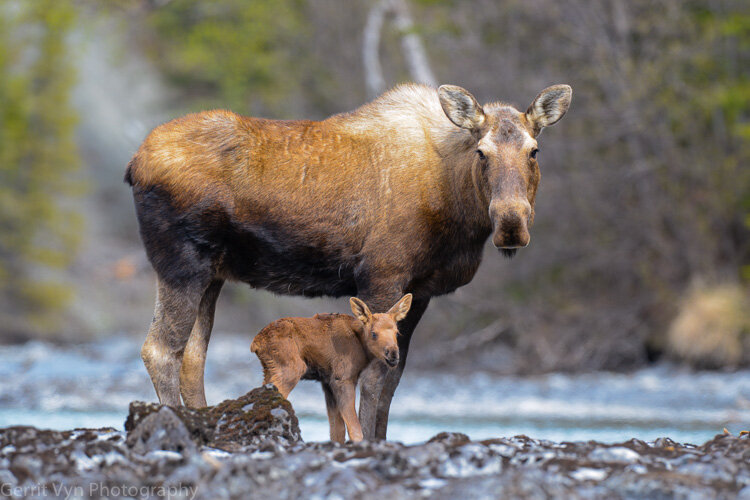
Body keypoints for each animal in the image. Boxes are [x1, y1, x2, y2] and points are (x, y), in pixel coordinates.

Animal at [251, 292, 412, 442]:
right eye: (373, 333)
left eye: (397, 332)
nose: (393, 354)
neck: (361, 346)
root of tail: (256, 343)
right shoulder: (342, 378)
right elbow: (354, 429)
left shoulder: (327, 382)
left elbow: (337, 431)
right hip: (292, 369)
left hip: (269, 369)